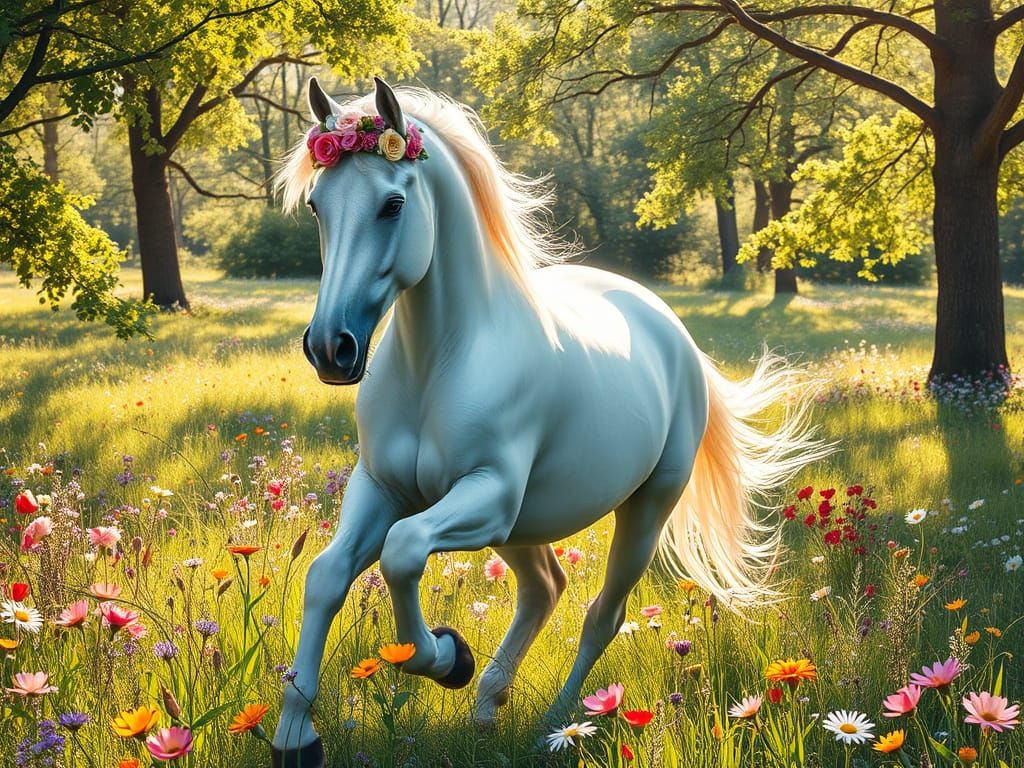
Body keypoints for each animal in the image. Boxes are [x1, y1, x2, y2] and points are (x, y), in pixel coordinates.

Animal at [270, 77, 827, 767]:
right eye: (317, 206)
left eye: (393, 204)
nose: (331, 348)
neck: (441, 361)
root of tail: (672, 332)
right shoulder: (383, 489)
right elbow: (326, 577)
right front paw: (295, 735)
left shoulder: (487, 495)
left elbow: (402, 553)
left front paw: (447, 655)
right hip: (522, 526)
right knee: (544, 588)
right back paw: (488, 705)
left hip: (638, 511)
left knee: (600, 614)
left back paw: (557, 723)